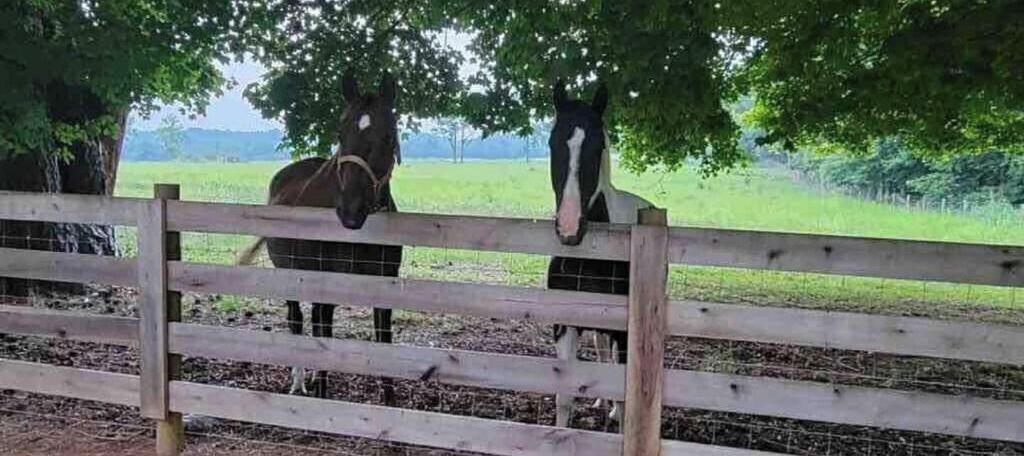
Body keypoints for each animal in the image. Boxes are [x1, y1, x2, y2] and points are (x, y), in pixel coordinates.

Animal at [237, 72, 402, 402]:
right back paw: (299, 382)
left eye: (388, 135)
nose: (350, 212)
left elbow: (383, 340)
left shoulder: (384, 284)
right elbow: (322, 334)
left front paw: (389, 401)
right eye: (340, 132)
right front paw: (322, 394)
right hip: (290, 272)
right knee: (298, 320)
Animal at [546, 80, 654, 428]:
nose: (569, 228)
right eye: (553, 144)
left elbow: (623, 398)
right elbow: (564, 396)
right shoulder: (565, 324)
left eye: (599, 147)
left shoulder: (624, 330)